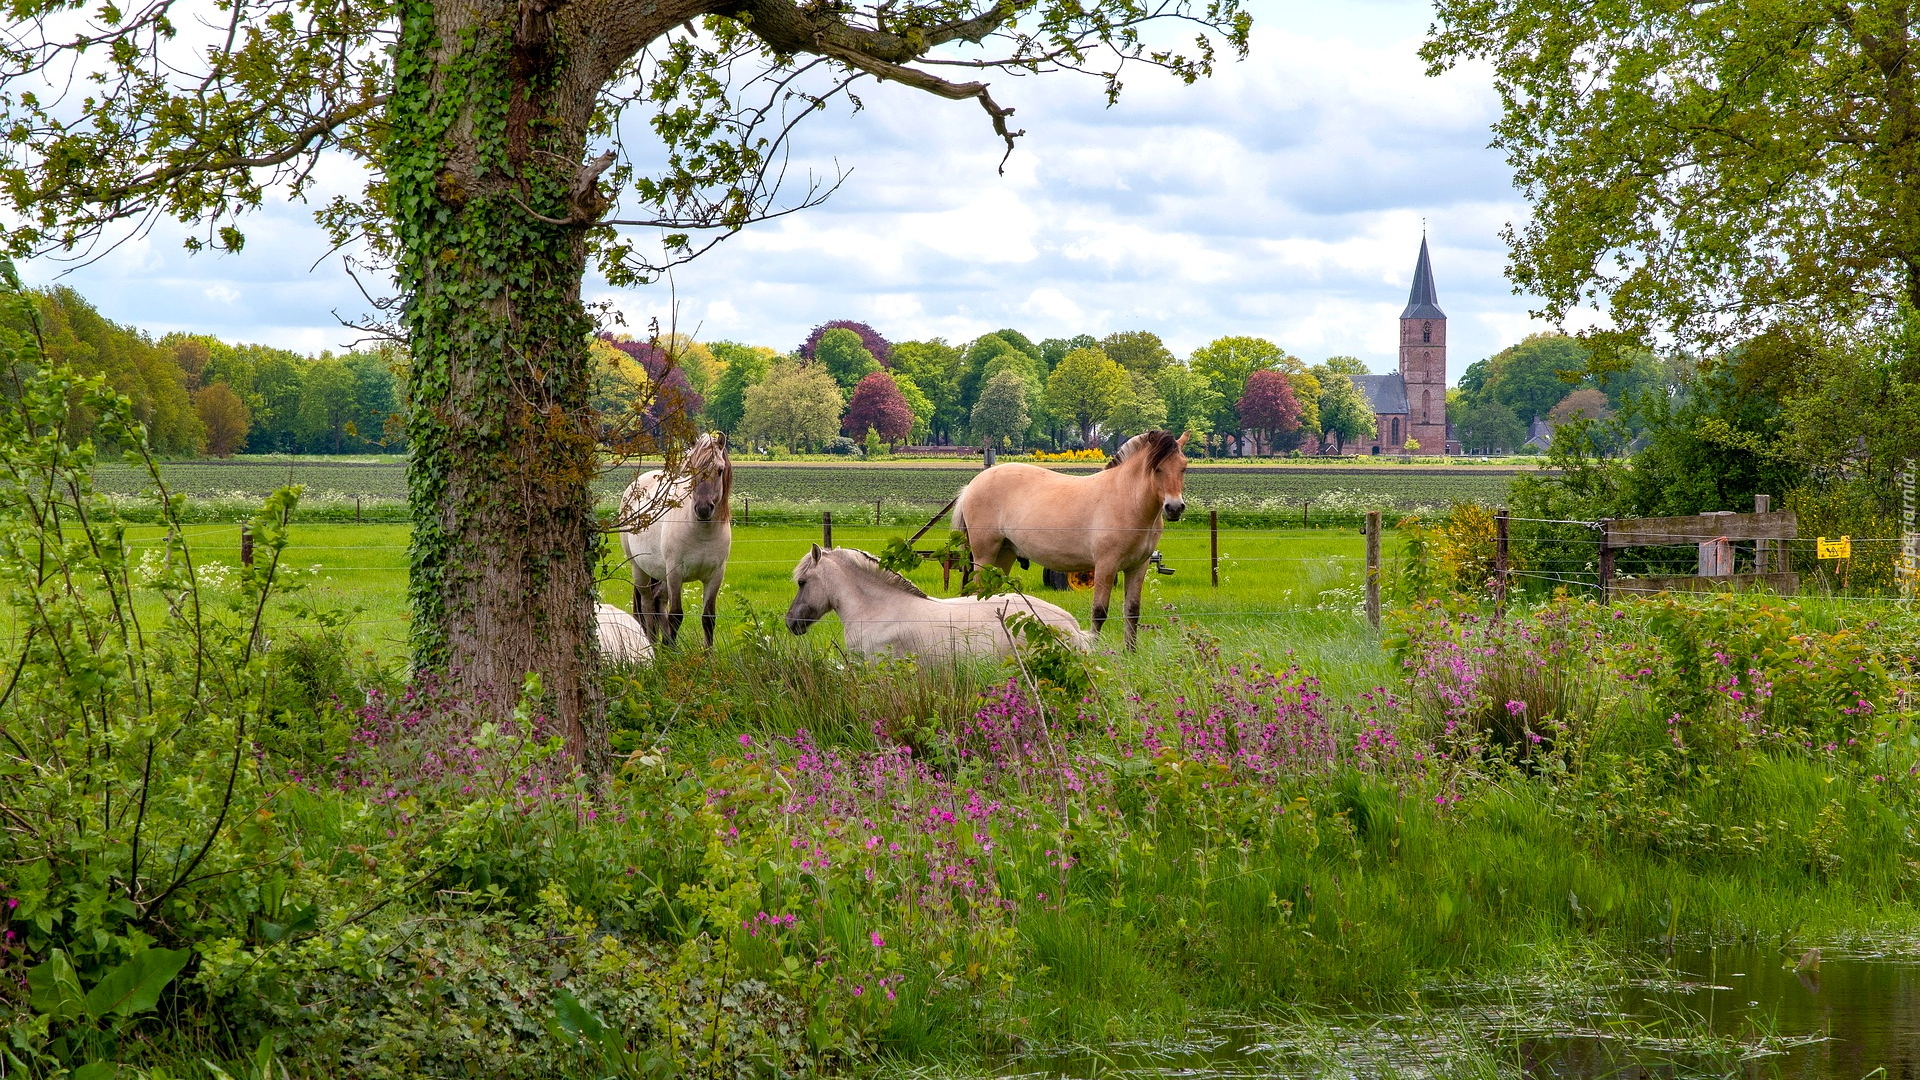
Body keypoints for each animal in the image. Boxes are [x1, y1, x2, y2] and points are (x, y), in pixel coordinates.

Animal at [618, 430, 729, 645]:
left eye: (720, 470)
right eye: (692, 470)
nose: (703, 508)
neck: (702, 533)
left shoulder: (715, 575)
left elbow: (708, 619)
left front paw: (706, 653)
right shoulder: (675, 573)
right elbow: (676, 615)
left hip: (659, 574)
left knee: (658, 602)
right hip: (639, 569)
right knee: (647, 607)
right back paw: (653, 645)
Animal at [948, 426, 1182, 645]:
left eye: (1183, 467)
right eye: (1157, 469)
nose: (1175, 508)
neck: (1126, 498)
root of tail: (972, 485)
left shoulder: (1138, 567)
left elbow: (1132, 612)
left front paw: (1130, 652)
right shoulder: (1106, 565)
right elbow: (1099, 612)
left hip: (1004, 555)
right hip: (984, 555)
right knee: (978, 593)